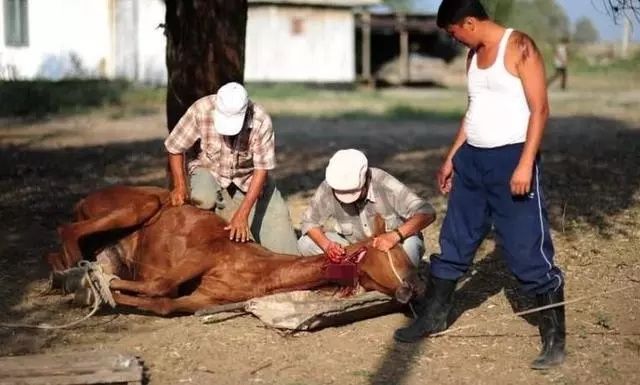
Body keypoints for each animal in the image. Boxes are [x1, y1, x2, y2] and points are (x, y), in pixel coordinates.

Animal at [46, 186, 424, 316]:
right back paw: (76, 273)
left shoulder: (200, 299)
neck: (258, 269)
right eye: (385, 257)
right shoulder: (201, 254)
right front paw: (96, 285)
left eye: (404, 257)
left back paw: (69, 278)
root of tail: (84, 200)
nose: (411, 289)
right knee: (66, 230)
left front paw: (100, 291)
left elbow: (163, 302)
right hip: (142, 204)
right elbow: (158, 286)